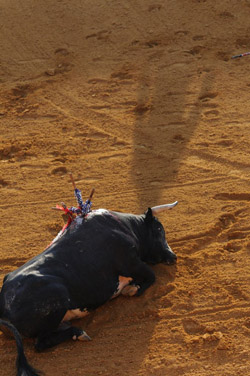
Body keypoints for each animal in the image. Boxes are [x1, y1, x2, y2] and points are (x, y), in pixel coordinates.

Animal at [0, 204, 178, 374]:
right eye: (158, 229)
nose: (173, 256)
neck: (127, 227)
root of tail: (4, 309)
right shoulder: (132, 263)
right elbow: (151, 276)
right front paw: (132, 289)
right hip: (58, 296)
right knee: (41, 343)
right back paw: (78, 333)